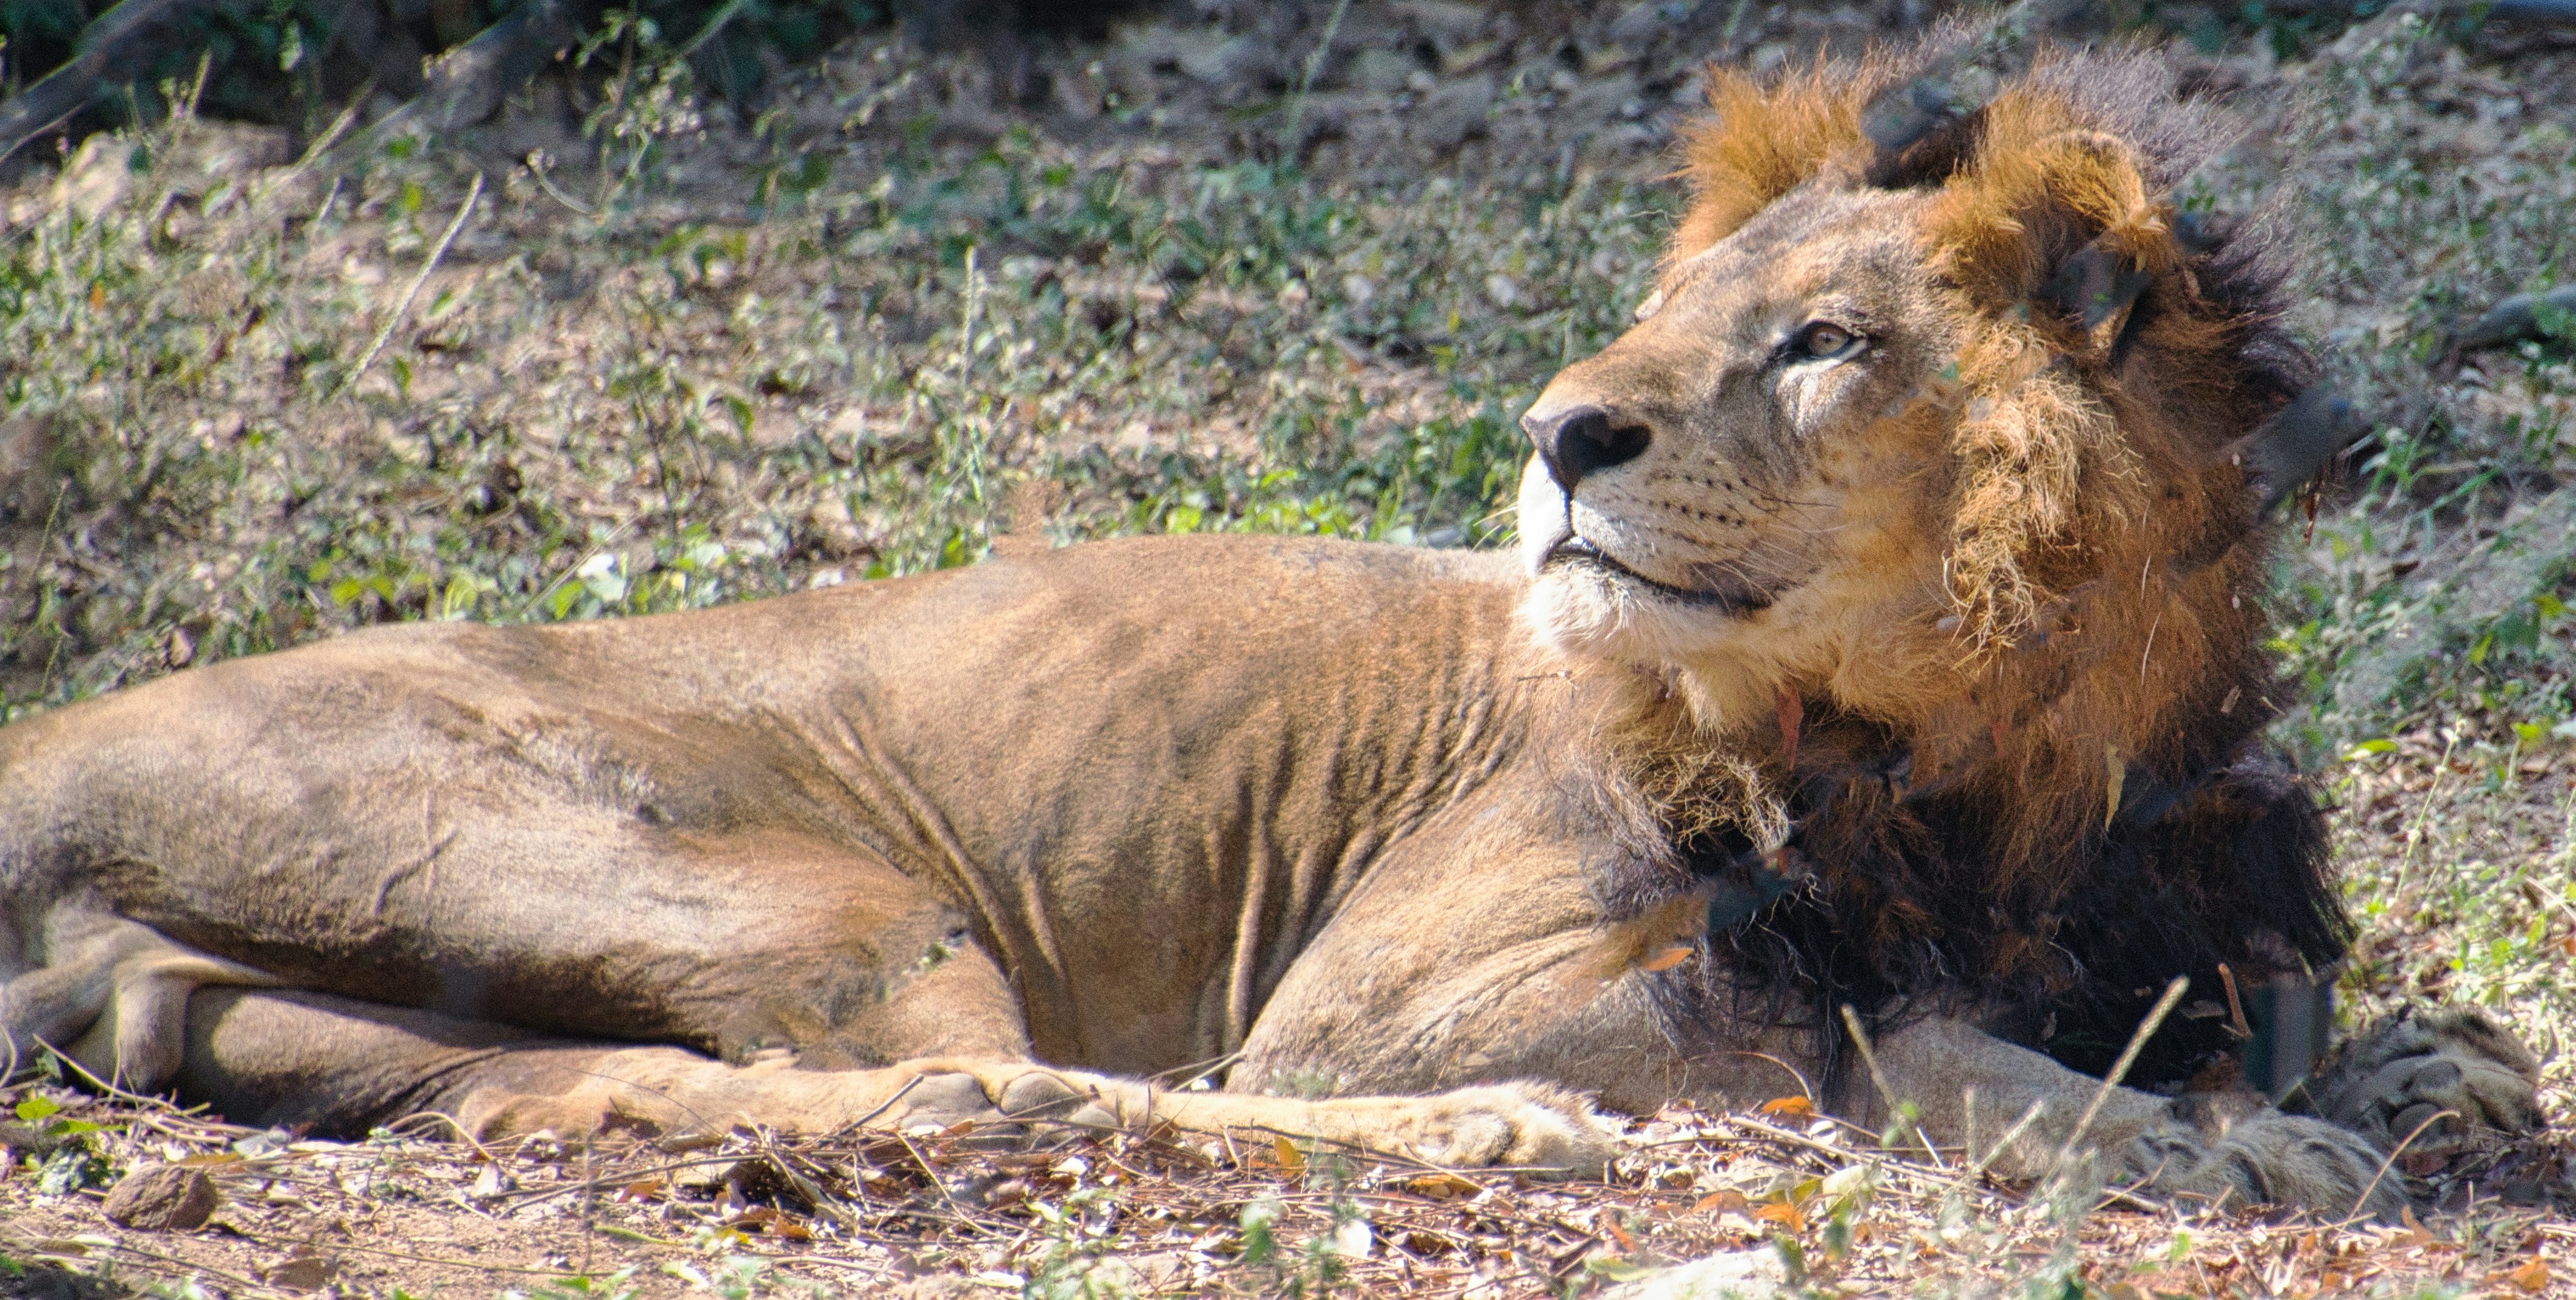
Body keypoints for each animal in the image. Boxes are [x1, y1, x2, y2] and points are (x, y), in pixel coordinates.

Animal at [0, 28, 2542, 1218]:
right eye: (1668, 319)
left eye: (1821, 344)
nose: (1559, 433)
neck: (1987, 753)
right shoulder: (1413, 986)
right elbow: (1863, 1040)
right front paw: (2213, 1143)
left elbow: (2339, 1023)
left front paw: (2412, 1078)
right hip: (769, 882)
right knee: (1073, 1088)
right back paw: (1504, 1146)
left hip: (326, 996)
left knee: (645, 1086)